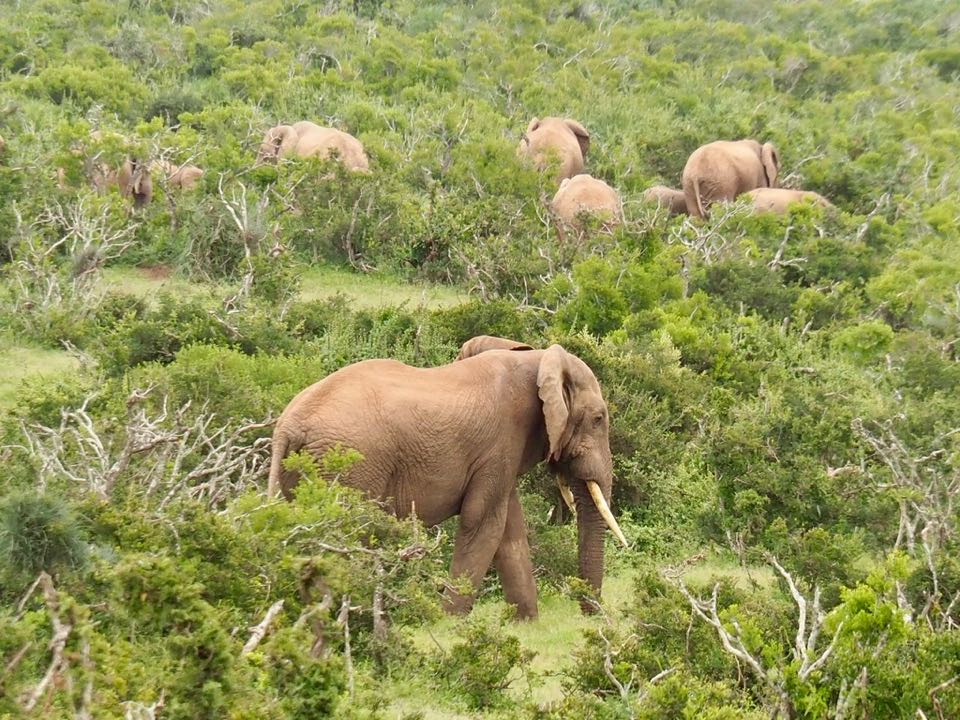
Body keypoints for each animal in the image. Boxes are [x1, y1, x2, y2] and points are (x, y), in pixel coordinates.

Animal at [267, 335, 628, 620]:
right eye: (598, 419)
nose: (590, 615)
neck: (536, 359)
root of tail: (288, 426)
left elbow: (509, 530)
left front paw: (525, 623)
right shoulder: (499, 443)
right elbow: (484, 524)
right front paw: (450, 624)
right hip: (349, 466)